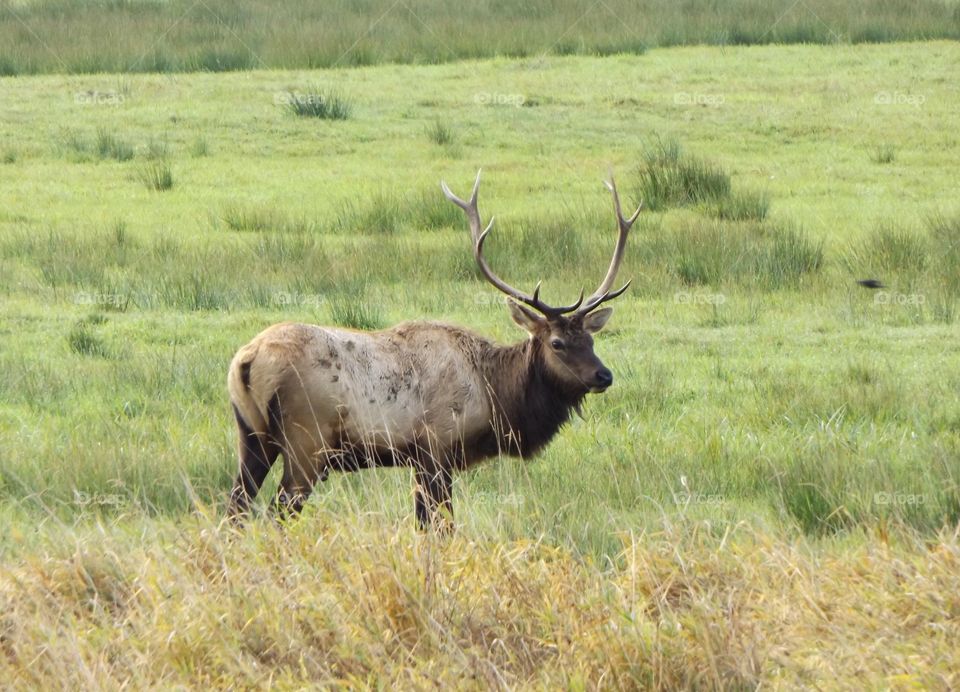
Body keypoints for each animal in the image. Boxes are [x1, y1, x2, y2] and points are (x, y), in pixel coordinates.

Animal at [226, 171, 642, 530]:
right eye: (557, 343)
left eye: (591, 340)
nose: (603, 375)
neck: (494, 396)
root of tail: (246, 361)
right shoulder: (436, 449)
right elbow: (441, 526)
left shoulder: (421, 460)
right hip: (306, 442)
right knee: (276, 513)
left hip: (252, 437)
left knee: (235, 508)